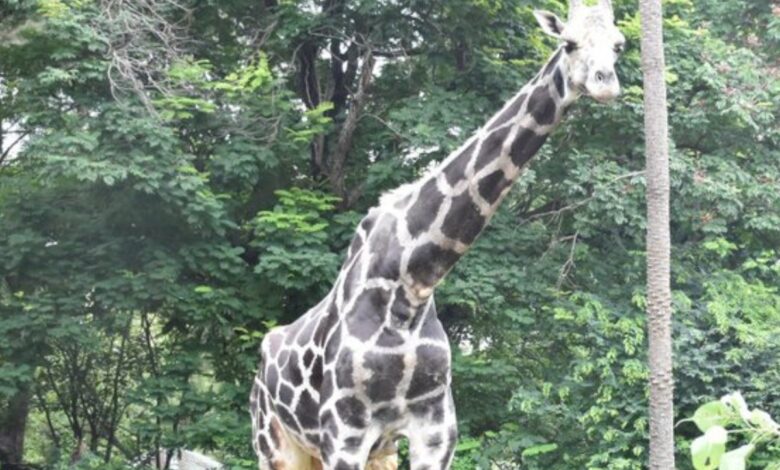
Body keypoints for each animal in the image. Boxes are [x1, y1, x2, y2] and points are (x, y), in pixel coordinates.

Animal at [250, 1, 625, 469]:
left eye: (619, 45)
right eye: (568, 43)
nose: (606, 83)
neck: (411, 284)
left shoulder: (433, 430)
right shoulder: (343, 431)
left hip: (375, 451)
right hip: (276, 443)